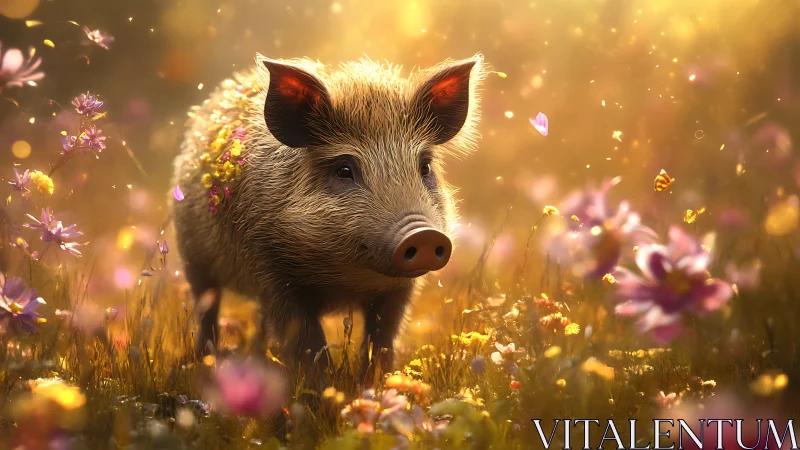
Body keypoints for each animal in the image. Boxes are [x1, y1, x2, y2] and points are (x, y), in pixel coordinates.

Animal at [172, 53, 486, 384]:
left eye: (424, 167)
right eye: (344, 170)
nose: (423, 234)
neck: (346, 279)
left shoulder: (400, 290)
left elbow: (382, 338)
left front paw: (373, 386)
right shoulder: (270, 269)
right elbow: (307, 342)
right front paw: (322, 392)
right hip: (193, 258)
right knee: (208, 309)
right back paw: (207, 361)